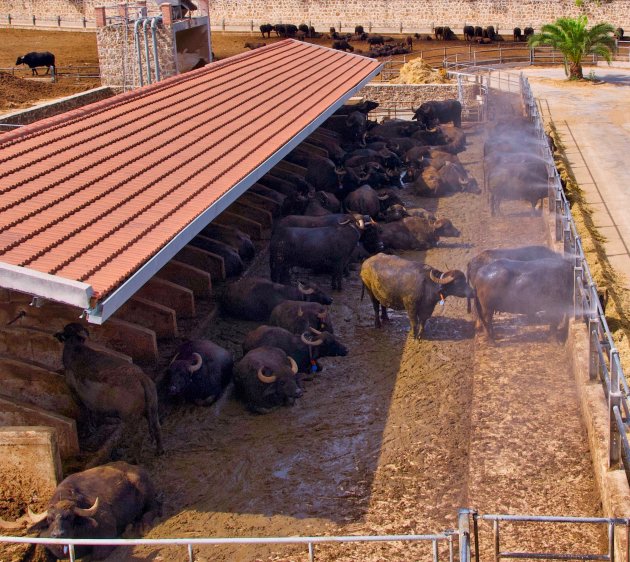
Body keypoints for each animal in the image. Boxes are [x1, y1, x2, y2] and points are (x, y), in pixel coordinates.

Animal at [0, 462, 160, 556]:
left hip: (145, 491)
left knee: (153, 508)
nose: (58, 534)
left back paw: (139, 527)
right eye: (50, 519)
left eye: (69, 517)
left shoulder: (106, 534)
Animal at [54, 322, 163, 458]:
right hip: (153, 407)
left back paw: (133, 458)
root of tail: (141, 378)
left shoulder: (77, 396)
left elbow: (85, 413)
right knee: (157, 427)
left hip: (131, 416)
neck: (75, 348)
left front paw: (90, 430)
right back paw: (159, 451)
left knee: (137, 437)